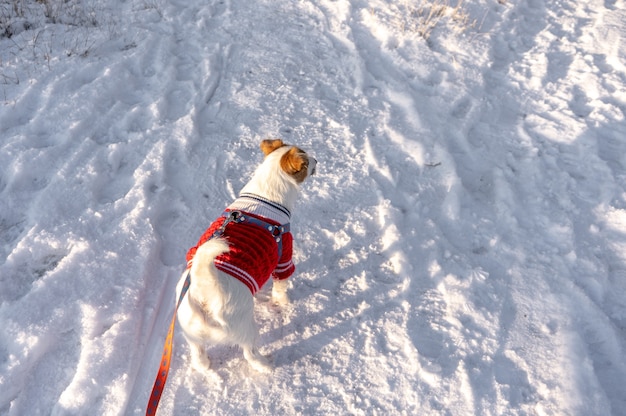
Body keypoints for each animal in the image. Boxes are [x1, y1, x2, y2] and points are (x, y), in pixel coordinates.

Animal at [173, 139, 314, 374]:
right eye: (306, 161)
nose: (317, 160)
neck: (265, 198)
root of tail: (204, 292)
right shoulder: (284, 258)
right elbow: (281, 287)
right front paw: (284, 302)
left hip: (191, 333)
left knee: (199, 356)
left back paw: (205, 366)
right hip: (246, 329)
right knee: (251, 354)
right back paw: (265, 365)